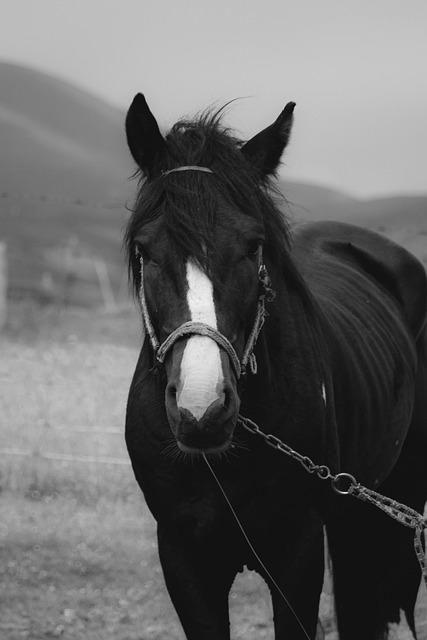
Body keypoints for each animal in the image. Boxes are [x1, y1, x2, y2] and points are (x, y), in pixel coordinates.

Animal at [124, 91, 427, 640]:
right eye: (145, 249)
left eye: (253, 246)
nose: (203, 409)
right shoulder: (183, 555)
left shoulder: (297, 552)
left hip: (399, 497)